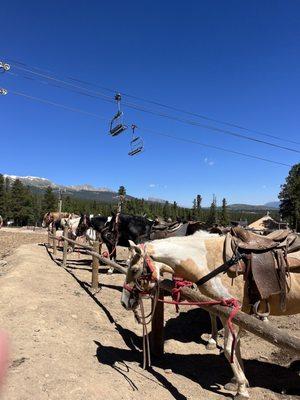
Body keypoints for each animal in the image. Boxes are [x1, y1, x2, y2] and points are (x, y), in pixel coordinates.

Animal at [120, 231, 300, 400]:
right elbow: (235, 346)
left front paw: (241, 388)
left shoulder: (233, 312)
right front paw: (236, 381)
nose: (124, 302)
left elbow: (228, 348)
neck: (211, 262)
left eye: (134, 270)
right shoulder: (228, 313)